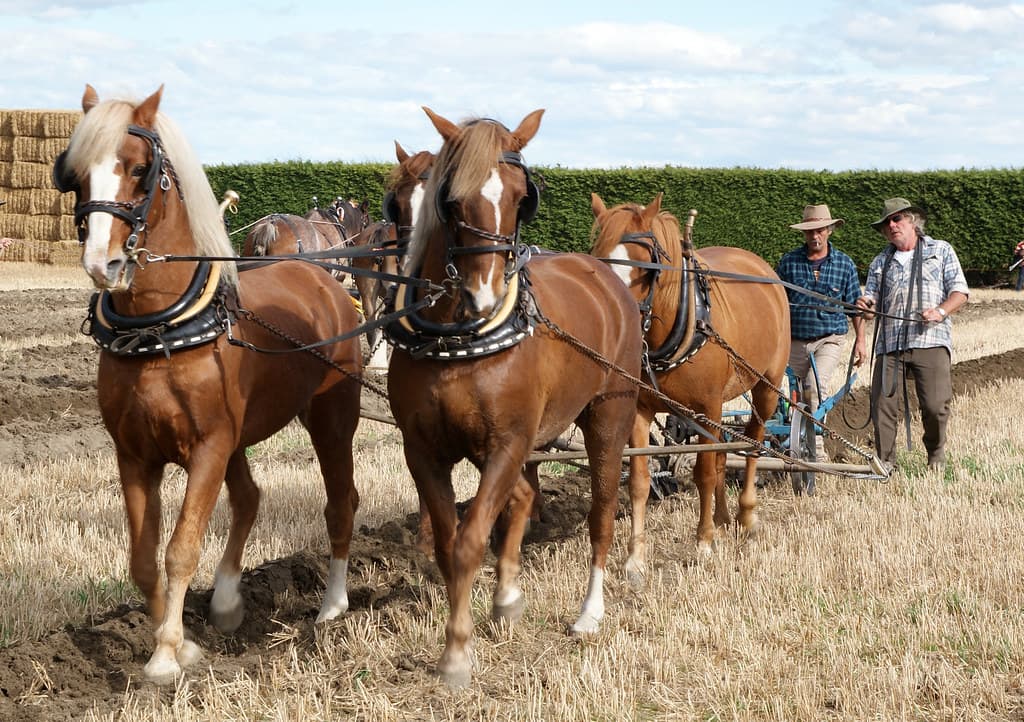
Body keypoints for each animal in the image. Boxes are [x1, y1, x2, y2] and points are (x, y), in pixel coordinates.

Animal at [54, 84, 364, 684]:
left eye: (141, 169)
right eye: (75, 174)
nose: (103, 264)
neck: (161, 330)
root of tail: (322, 276)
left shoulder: (207, 448)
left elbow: (180, 548)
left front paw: (165, 655)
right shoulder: (136, 453)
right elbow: (143, 557)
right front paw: (185, 644)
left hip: (331, 421)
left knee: (341, 501)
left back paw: (332, 607)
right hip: (238, 439)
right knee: (248, 498)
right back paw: (225, 599)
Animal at [385, 107, 642, 687]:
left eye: (523, 196)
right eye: (451, 198)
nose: (484, 294)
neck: (459, 338)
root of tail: (604, 274)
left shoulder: (507, 442)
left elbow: (470, 540)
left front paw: (457, 653)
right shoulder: (423, 449)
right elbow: (448, 541)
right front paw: (476, 621)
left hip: (609, 416)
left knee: (602, 512)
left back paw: (589, 612)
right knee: (525, 497)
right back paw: (508, 596)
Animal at [589, 192, 790, 573]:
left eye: (647, 267)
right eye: (600, 261)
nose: (620, 319)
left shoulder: (706, 407)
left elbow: (704, 474)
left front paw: (704, 542)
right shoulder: (641, 410)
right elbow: (640, 480)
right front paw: (635, 557)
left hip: (766, 386)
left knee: (753, 445)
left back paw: (746, 518)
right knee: (725, 451)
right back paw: (723, 518)